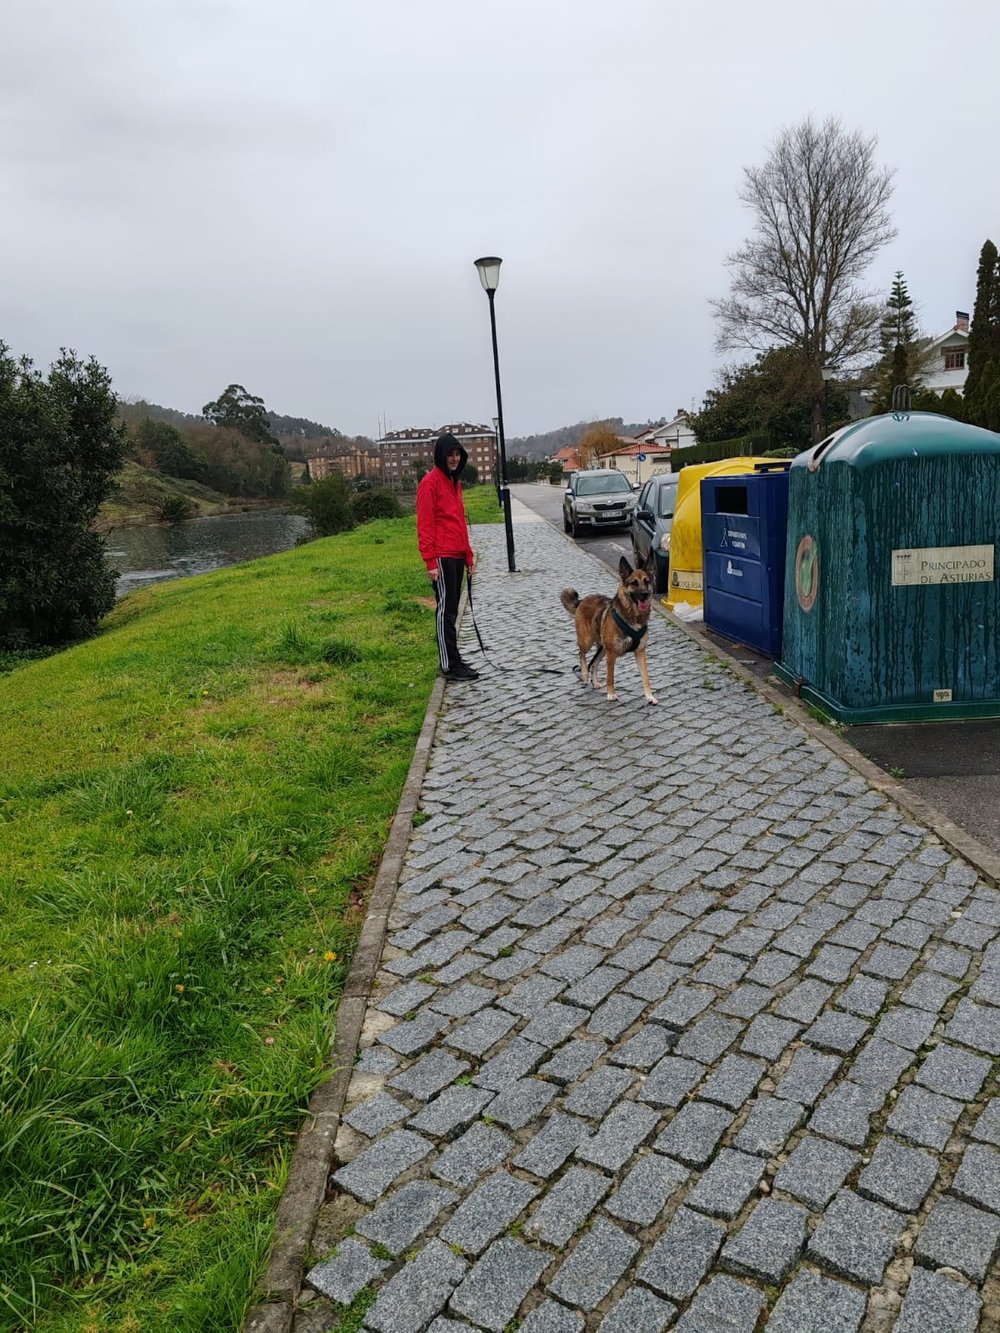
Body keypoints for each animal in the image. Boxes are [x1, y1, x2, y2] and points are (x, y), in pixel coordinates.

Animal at [560, 551, 661, 703]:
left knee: (594, 663)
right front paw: (611, 694)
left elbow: (645, 677)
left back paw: (595, 682)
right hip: (587, 642)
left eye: (647, 581)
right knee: (582, 655)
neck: (632, 615)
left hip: (602, 649)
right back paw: (584, 675)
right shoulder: (612, 654)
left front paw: (650, 696)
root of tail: (582, 601)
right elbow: (610, 677)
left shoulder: (640, 652)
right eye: (634, 583)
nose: (645, 594)